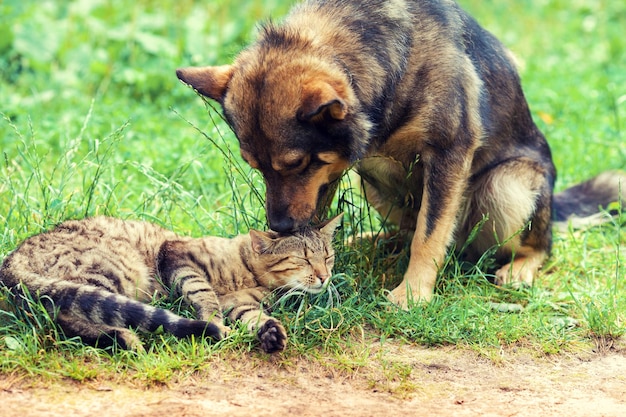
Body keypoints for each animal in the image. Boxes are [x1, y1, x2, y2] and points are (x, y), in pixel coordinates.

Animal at [0, 213, 342, 352]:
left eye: (328, 256)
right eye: (303, 259)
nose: (324, 277)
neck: (249, 275)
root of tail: (10, 261)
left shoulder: (241, 306)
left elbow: (255, 318)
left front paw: (270, 333)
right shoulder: (177, 256)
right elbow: (204, 295)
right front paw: (214, 323)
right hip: (110, 271)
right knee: (68, 318)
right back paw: (126, 340)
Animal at [178, 0, 620, 306]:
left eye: (297, 163)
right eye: (256, 167)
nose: (280, 226)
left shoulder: (448, 152)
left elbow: (430, 234)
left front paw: (412, 294)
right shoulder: (333, 172)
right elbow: (323, 224)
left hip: (506, 186)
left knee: (537, 245)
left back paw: (520, 266)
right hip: (375, 182)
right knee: (406, 228)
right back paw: (370, 240)